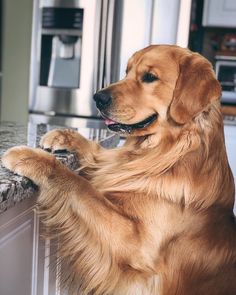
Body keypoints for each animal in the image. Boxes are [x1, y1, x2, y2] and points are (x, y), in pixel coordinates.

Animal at [1, 45, 236, 294]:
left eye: (149, 77)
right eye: (126, 71)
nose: (97, 97)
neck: (170, 154)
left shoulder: (134, 243)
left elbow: (79, 185)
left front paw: (30, 157)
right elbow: (96, 153)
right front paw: (62, 135)